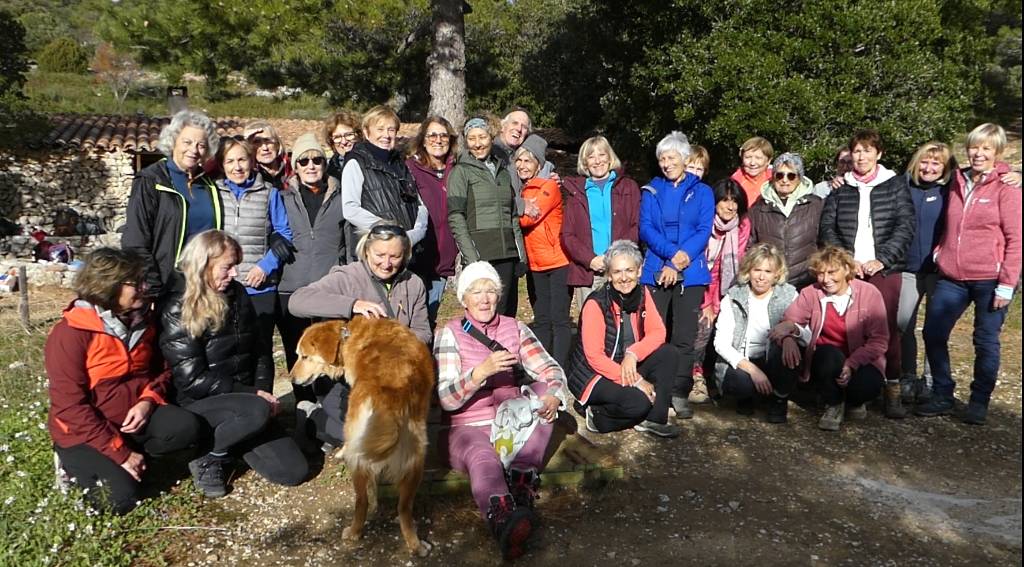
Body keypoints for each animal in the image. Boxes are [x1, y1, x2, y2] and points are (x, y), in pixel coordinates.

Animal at [290, 315, 434, 552]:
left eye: (304, 356)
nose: (292, 379)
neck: (347, 336)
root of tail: (391, 396)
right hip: (416, 460)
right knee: (404, 507)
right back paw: (415, 544)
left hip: (359, 460)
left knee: (362, 501)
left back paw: (353, 532)